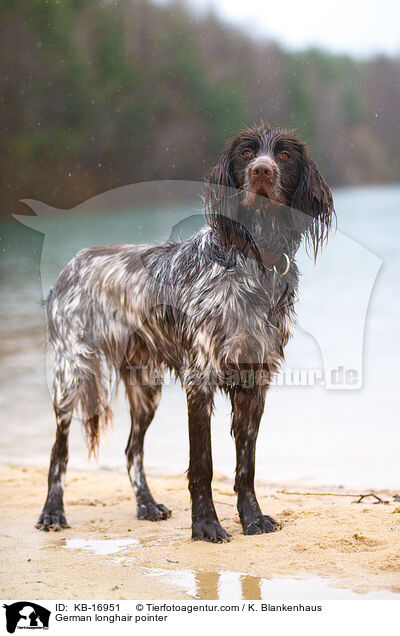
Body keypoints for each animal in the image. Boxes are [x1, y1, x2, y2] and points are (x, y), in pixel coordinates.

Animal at [36, 121, 332, 540]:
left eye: (285, 155)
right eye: (246, 153)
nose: (261, 171)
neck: (255, 261)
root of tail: (73, 262)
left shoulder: (254, 381)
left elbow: (246, 466)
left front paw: (253, 519)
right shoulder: (201, 377)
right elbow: (202, 464)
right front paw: (206, 525)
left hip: (146, 388)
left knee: (132, 450)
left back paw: (146, 504)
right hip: (71, 373)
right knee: (58, 451)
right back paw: (52, 512)